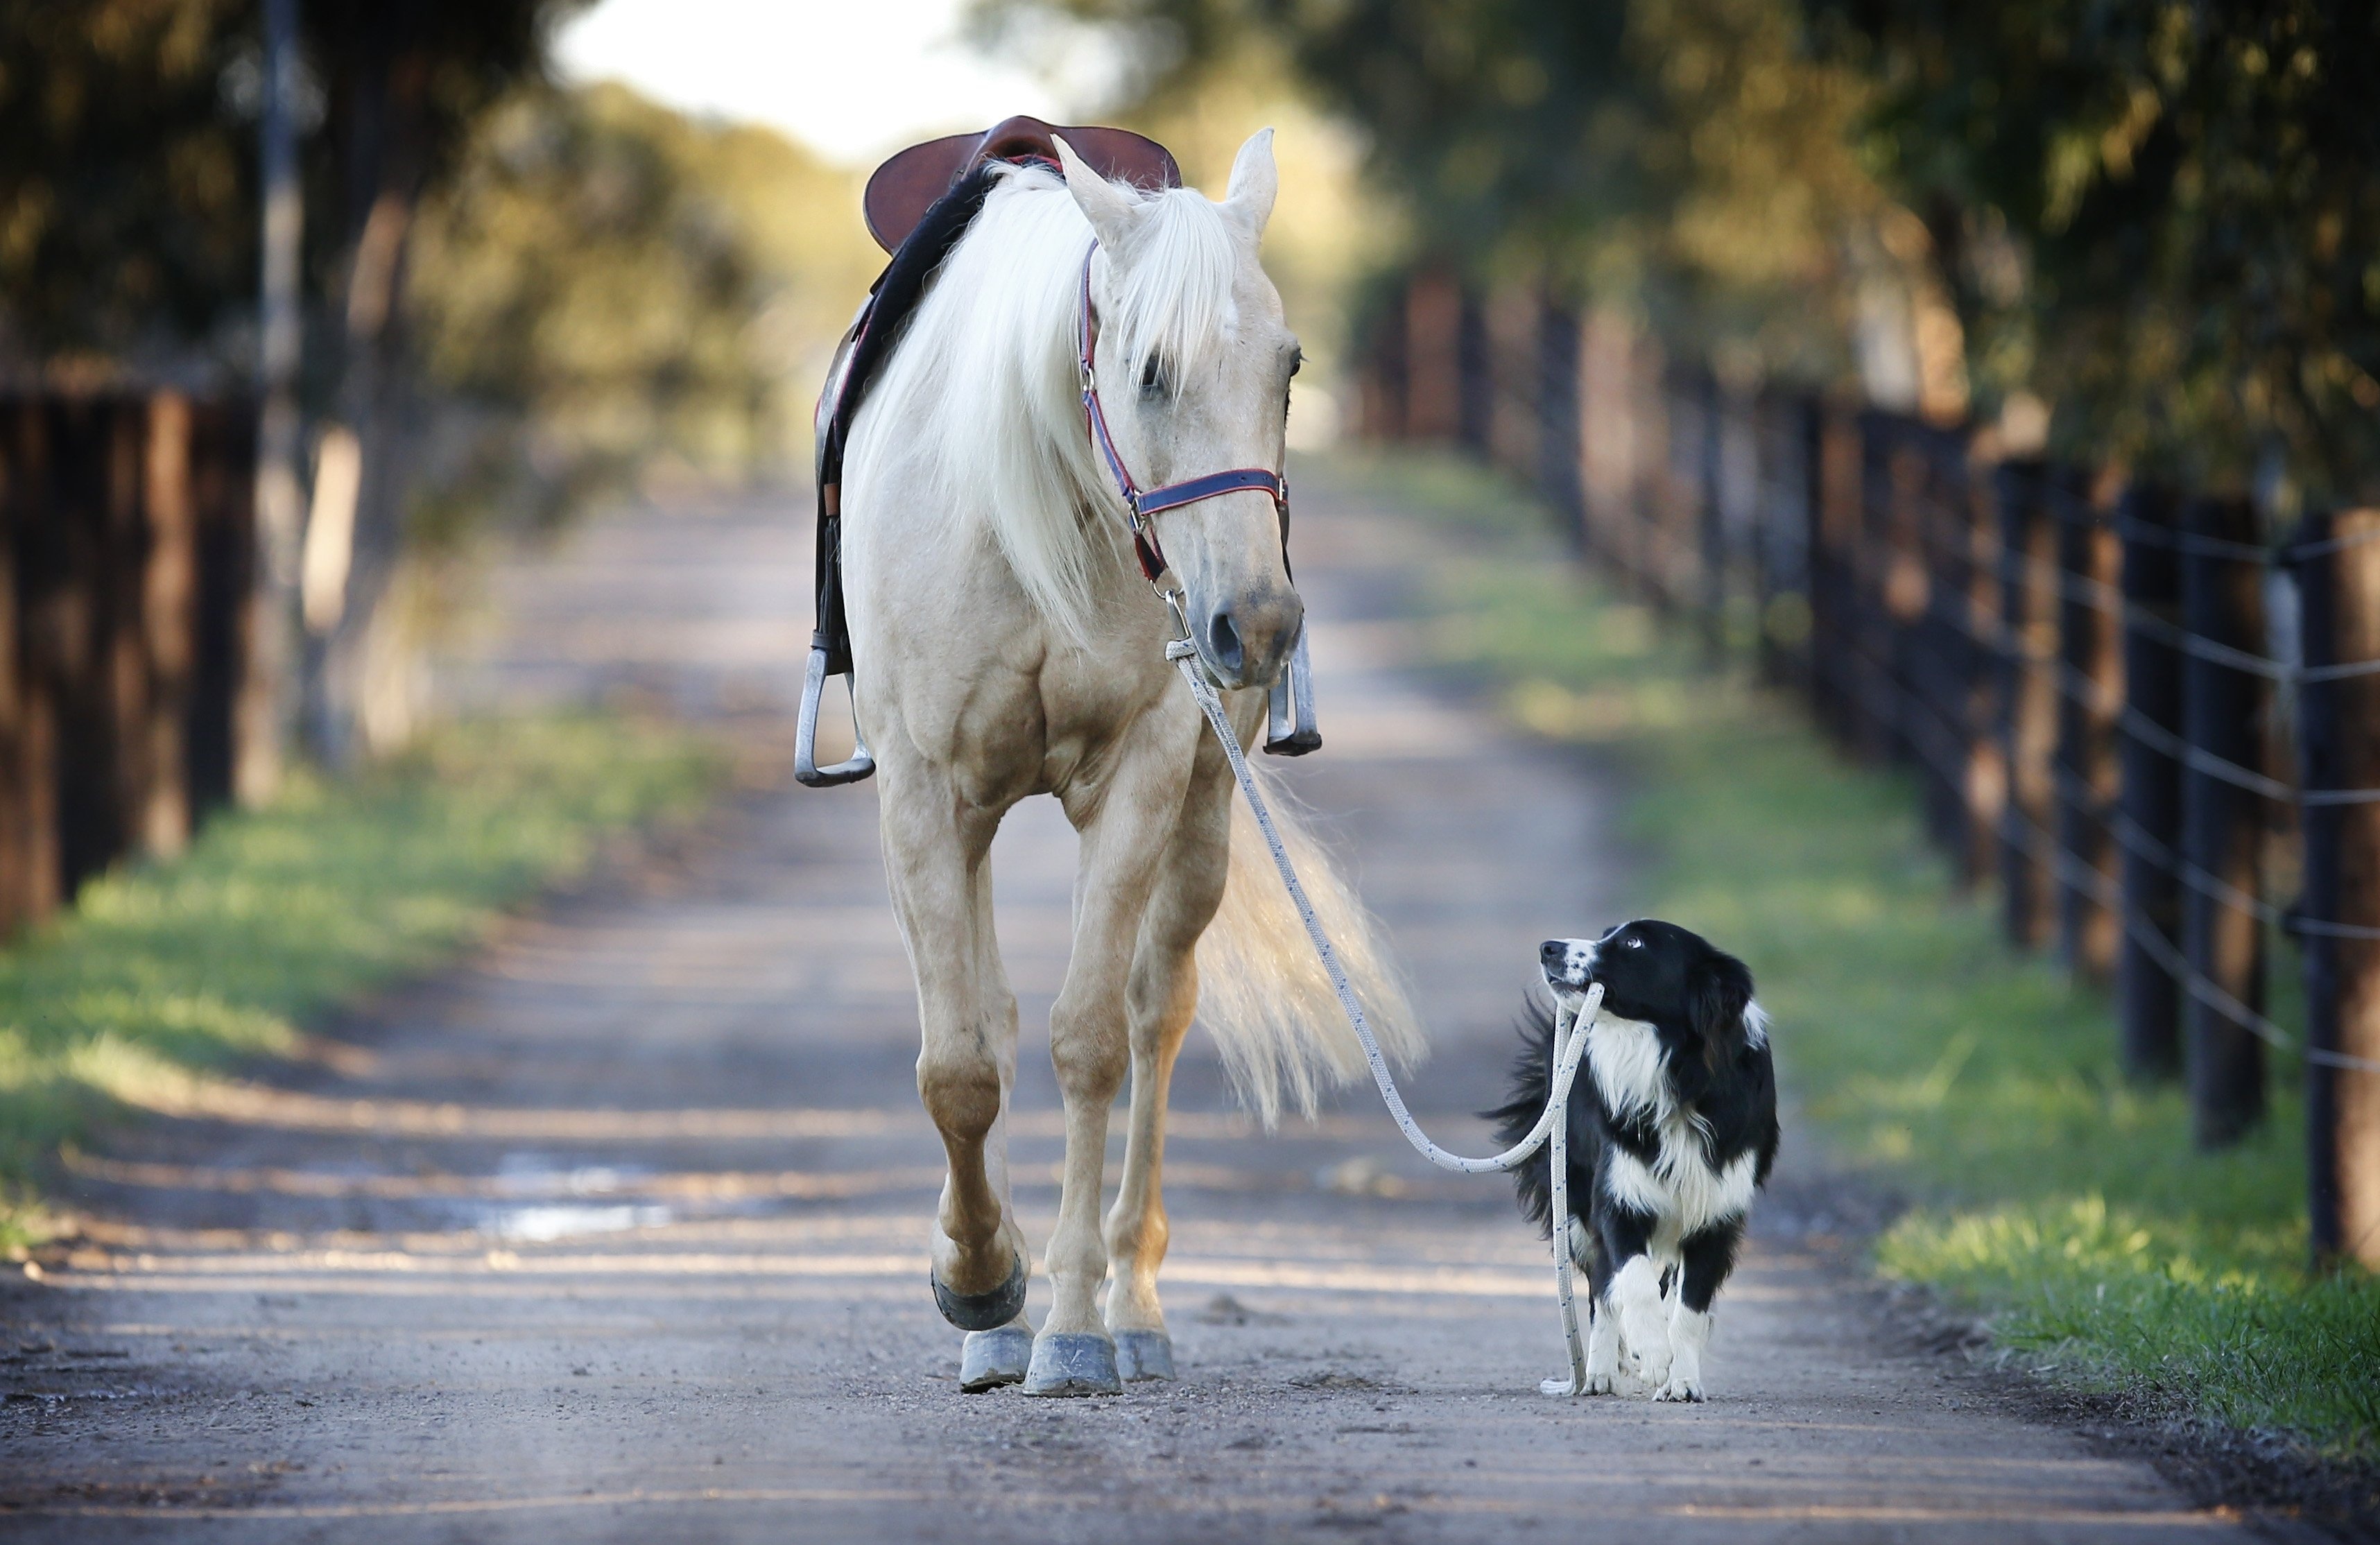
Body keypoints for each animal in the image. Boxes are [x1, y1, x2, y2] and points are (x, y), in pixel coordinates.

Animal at [842, 126, 1418, 1390]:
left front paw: (1069, 1321)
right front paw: (981, 1281)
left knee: (1160, 1011)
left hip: (1204, 810)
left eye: (1291, 369)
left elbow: (1093, 1040)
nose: (1257, 626)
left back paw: (1133, 1305)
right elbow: (959, 1064)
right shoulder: (922, 796)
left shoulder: (1144, 777)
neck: (1035, 518)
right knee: (990, 1020)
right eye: (1149, 371)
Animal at [1485, 923, 1789, 1399]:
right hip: (1577, 1202)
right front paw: (1652, 1354)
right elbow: (1633, 1279)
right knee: (1604, 1289)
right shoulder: (1618, 1196)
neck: (1678, 1075)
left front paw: (1683, 1382)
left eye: (1634, 943)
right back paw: (1598, 1374)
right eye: (1608, 933)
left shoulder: (1717, 1214)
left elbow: (1690, 1308)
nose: (1548, 948)